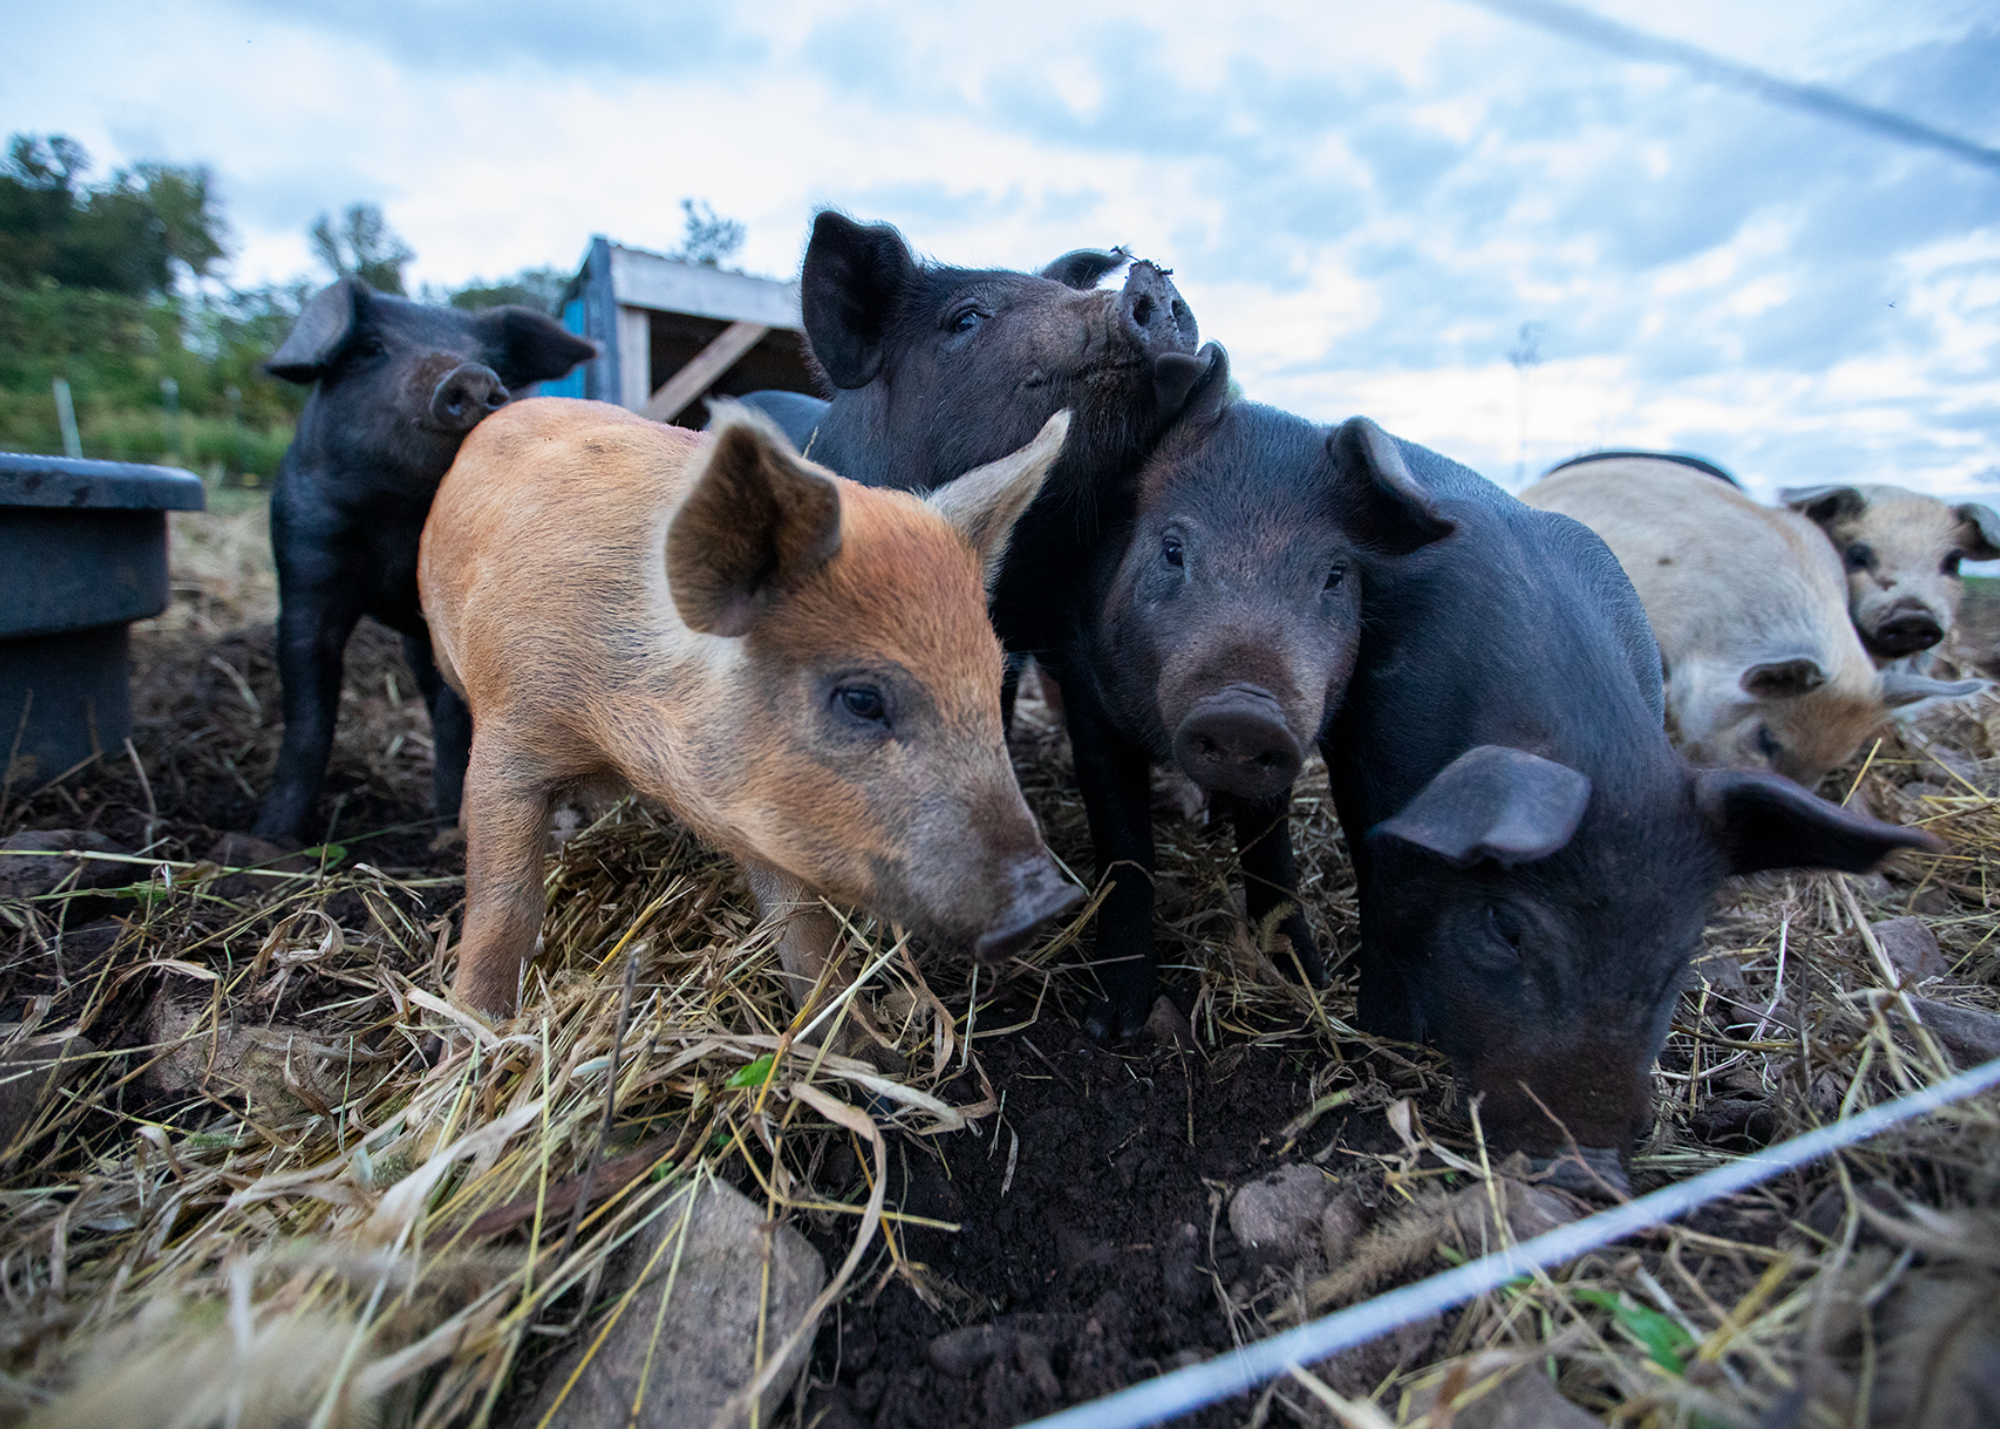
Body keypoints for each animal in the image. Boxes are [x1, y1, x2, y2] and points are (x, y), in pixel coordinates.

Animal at [253, 279, 598, 844]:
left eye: (490, 358)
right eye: (370, 348)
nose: (472, 375)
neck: (399, 518)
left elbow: (454, 718)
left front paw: (446, 837)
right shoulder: (304, 570)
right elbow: (308, 716)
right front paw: (262, 842)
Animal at [418, 398, 1081, 1018]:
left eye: (993, 678)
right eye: (861, 699)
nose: (1053, 900)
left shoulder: (766, 804)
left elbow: (805, 931)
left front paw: (865, 1050)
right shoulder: (513, 730)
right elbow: (504, 907)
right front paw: (476, 1029)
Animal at [1057, 353, 1453, 1036]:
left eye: (1335, 574)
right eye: (1172, 548)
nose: (1246, 711)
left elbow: (1271, 851)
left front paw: (1307, 977)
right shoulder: (1090, 708)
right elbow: (1126, 851)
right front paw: (1112, 1025)